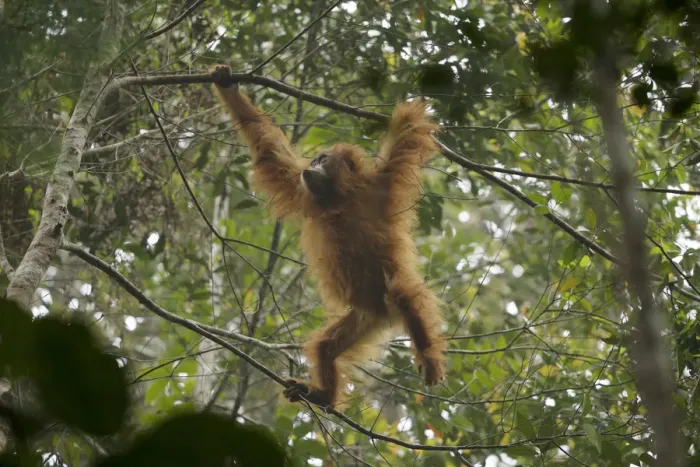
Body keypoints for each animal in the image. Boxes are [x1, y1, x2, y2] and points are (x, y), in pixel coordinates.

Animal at [212, 65, 446, 409]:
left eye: (322, 159)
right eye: (312, 161)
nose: (311, 165)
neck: (339, 197)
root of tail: (383, 313)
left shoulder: (384, 181)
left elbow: (407, 131)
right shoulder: (302, 188)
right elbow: (271, 151)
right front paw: (226, 85)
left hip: (385, 299)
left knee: (404, 293)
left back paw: (427, 357)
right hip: (362, 319)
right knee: (326, 346)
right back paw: (321, 394)